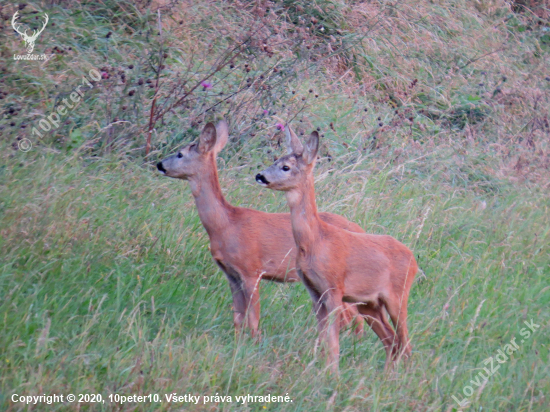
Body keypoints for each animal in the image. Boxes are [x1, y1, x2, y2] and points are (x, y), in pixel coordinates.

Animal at [156, 120, 366, 338]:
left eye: (180, 154)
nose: (159, 164)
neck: (226, 224)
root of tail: (360, 228)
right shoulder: (231, 274)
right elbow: (238, 317)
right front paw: (237, 340)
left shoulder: (251, 269)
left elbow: (253, 318)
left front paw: (252, 340)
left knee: (355, 318)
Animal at [256, 126, 418, 370]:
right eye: (276, 160)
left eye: (286, 167)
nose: (260, 176)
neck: (315, 242)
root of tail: (414, 259)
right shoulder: (315, 292)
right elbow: (324, 338)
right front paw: (321, 369)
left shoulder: (334, 288)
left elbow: (333, 342)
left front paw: (332, 373)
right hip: (369, 303)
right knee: (392, 341)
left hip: (398, 296)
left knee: (405, 344)